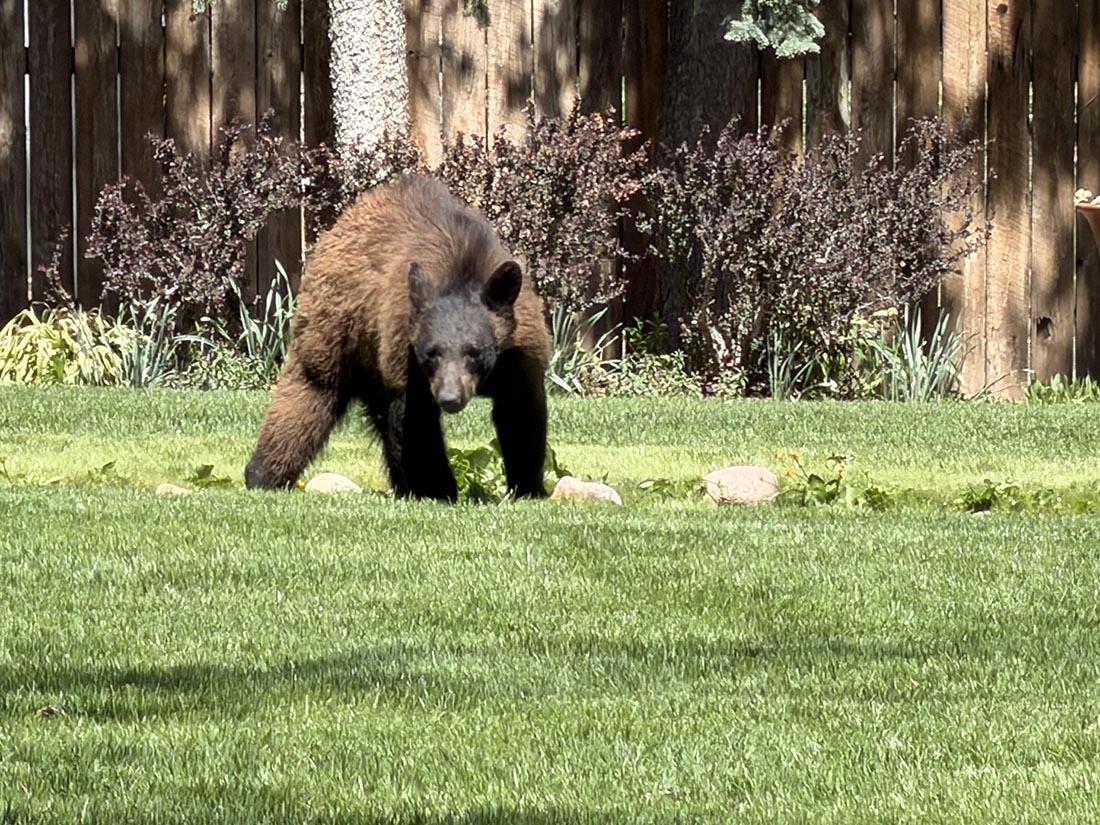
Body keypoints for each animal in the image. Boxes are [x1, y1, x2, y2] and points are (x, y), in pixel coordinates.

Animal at [244, 173, 552, 501]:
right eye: (431, 353)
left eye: (474, 351)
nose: (450, 398)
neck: (462, 268)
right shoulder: (403, 351)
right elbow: (415, 420)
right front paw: (439, 487)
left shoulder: (520, 356)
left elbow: (520, 416)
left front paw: (528, 486)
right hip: (334, 334)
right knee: (309, 396)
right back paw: (263, 473)